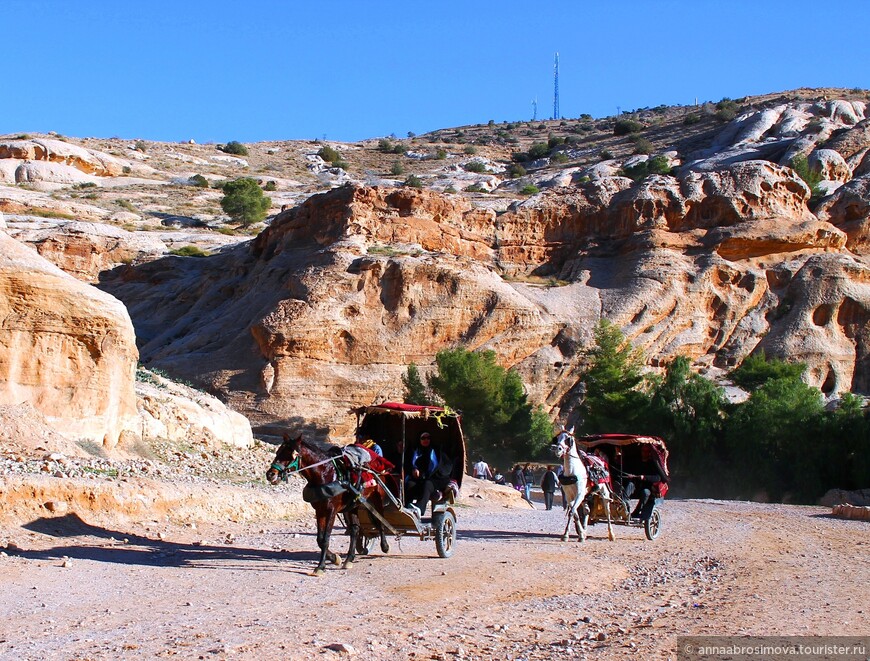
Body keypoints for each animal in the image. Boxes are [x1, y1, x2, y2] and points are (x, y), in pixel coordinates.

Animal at [264, 434, 390, 572]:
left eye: (291, 455)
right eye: (278, 452)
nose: (270, 474)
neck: (325, 475)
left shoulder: (331, 511)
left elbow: (325, 539)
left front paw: (320, 566)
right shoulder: (319, 510)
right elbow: (320, 539)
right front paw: (334, 558)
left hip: (376, 498)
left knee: (380, 521)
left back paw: (384, 546)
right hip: (353, 505)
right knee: (355, 529)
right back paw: (349, 558)